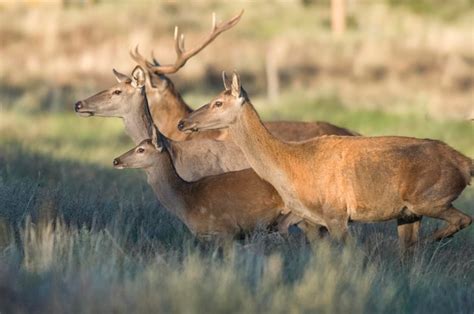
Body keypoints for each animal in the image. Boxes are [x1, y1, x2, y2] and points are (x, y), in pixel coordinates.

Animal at [179, 72, 474, 247]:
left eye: (218, 103)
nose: (183, 122)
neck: (290, 167)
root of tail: (465, 164)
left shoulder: (336, 213)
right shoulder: (313, 221)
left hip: (429, 196)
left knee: (463, 219)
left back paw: (436, 238)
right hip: (408, 213)